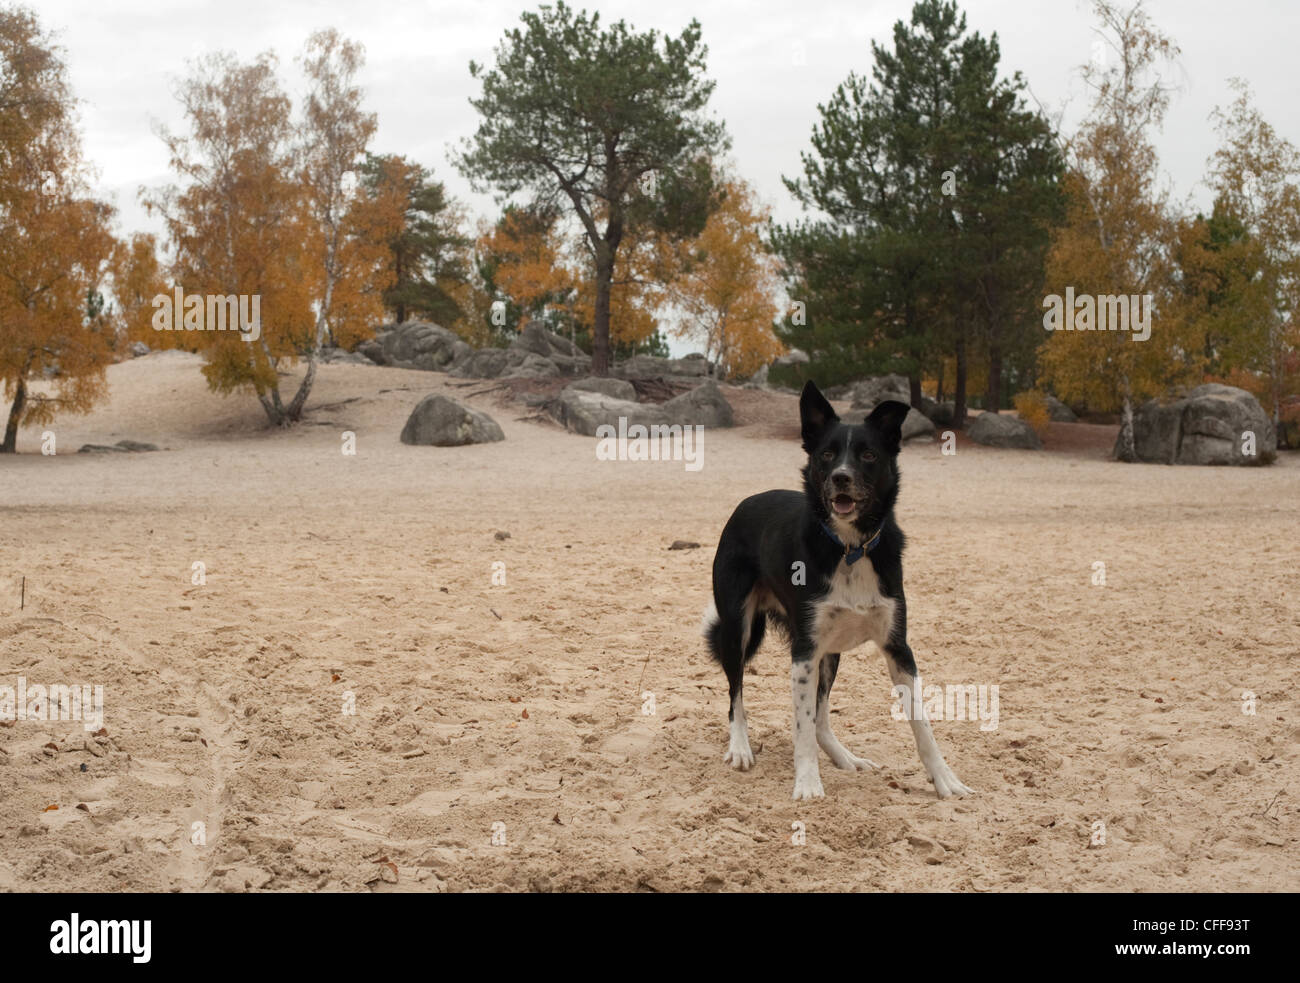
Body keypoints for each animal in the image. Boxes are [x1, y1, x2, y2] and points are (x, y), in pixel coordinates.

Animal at [707, 379, 972, 800]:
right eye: (827, 454)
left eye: (868, 455)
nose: (841, 477)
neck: (849, 547)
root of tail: (748, 501)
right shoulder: (804, 651)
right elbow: (800, 726)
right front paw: (807, 782)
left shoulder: (898, 647)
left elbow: (922, 723)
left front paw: (945, 778)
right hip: (737, 628)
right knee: (736, 696)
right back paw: (741, 747)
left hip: (830, 652)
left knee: (820, 718)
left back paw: (844, 757)